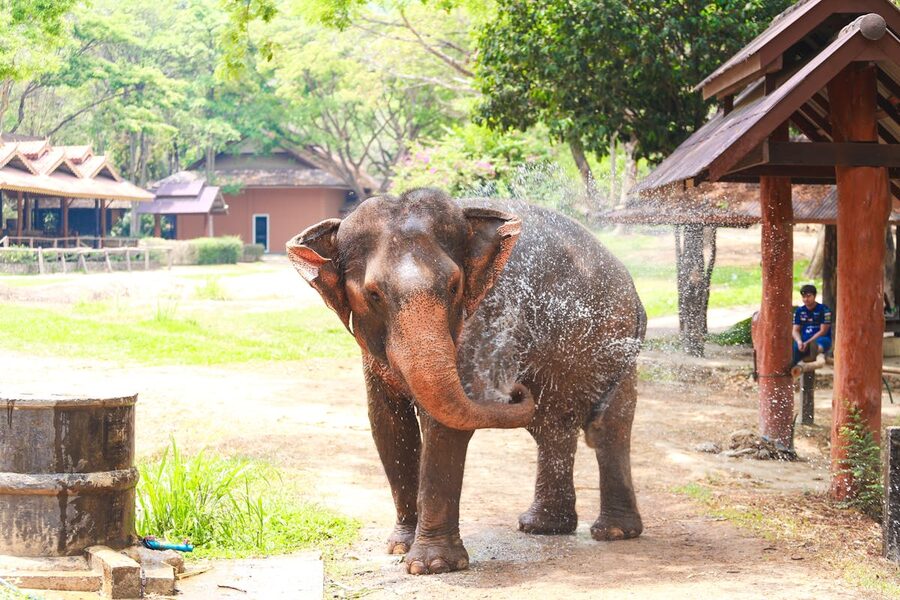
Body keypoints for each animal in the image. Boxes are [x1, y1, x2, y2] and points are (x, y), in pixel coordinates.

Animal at [287, 187, 645, 575]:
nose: (514, 389)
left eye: (454, 285)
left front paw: (431, 566)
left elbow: (443, 426)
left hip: (608, 336)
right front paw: (399, 547)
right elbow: (388, 424)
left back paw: (613, 532)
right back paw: (543, 527)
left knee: (606, 424)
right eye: (373, 295)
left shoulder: (480, 322)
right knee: (552, 424)